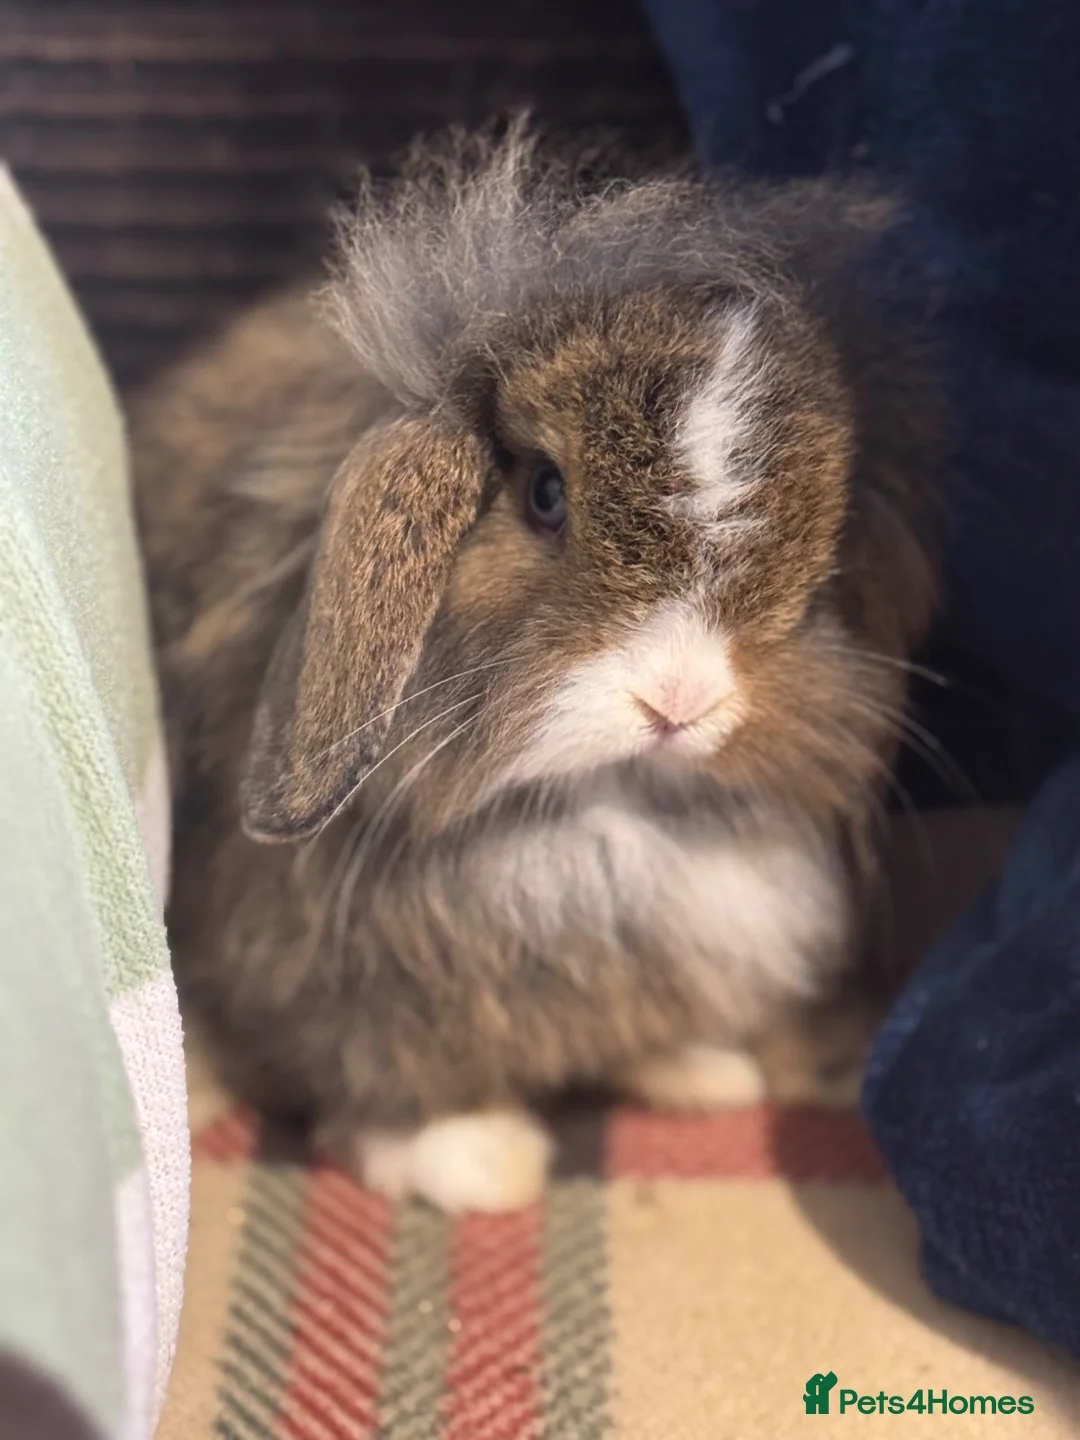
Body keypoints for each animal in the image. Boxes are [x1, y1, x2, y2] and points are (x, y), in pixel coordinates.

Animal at [133, 118, 941, 1213]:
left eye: (827, 534)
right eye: (545, 494)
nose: (681, 698)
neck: (602, 813)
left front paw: (703, 1073)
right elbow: (391, 1082)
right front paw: (483, 1167)